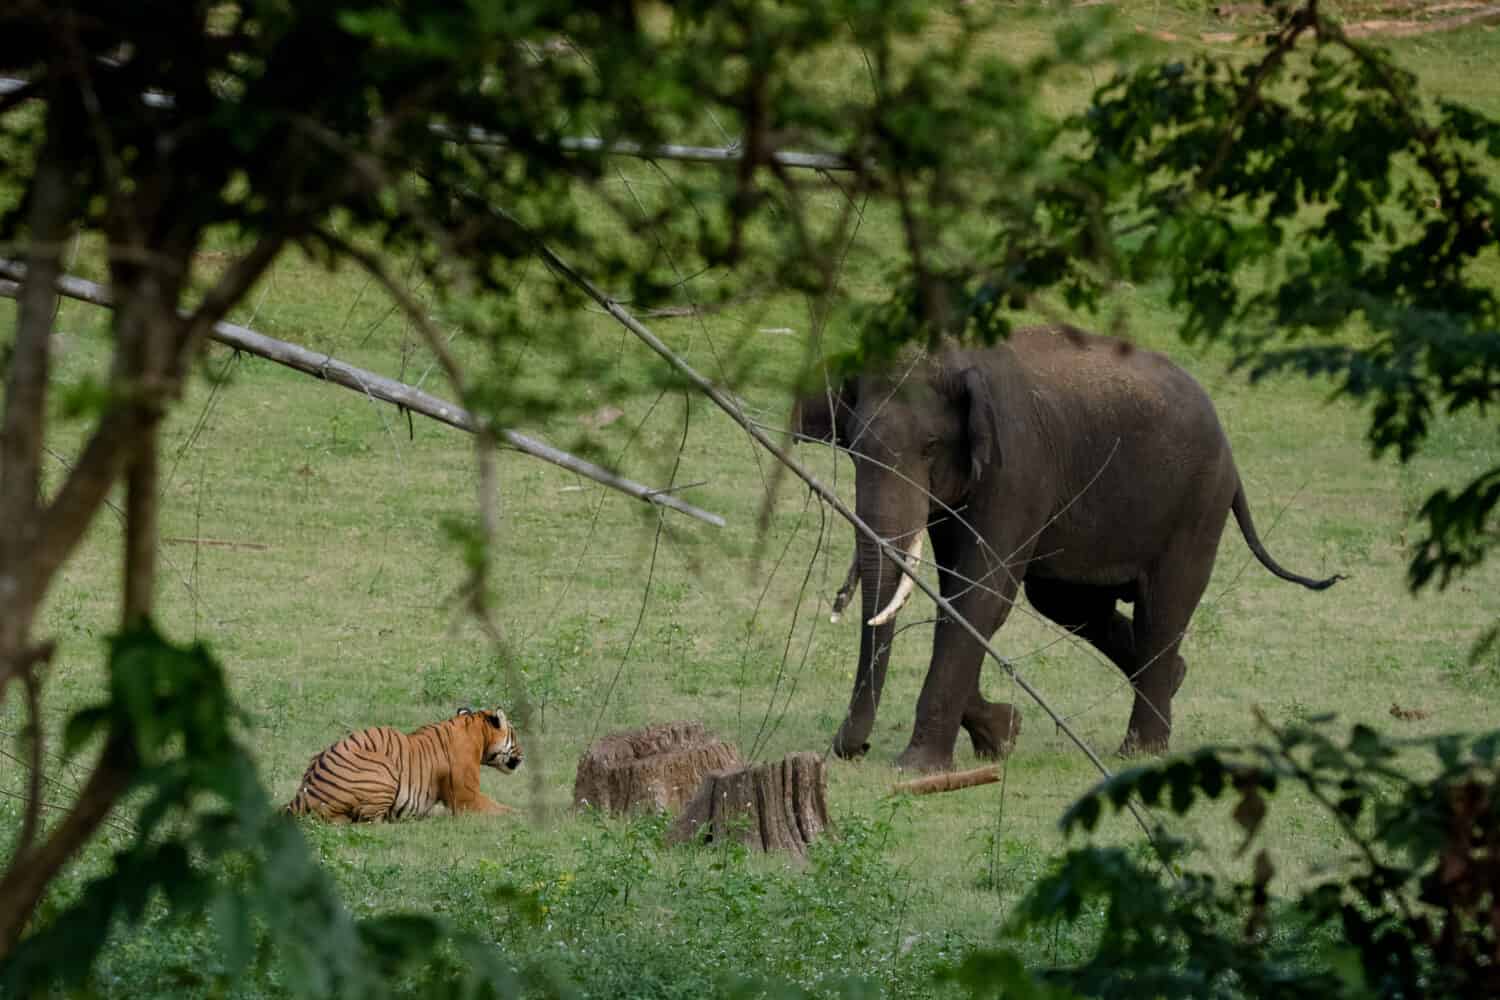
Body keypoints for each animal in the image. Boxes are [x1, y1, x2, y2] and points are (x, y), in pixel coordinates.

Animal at [283, 704, 525, 821]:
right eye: (515, 734)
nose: (523, 755)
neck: (478, 733)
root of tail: (301, 796)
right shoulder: (468, 798)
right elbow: (504, 809)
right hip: (384, 769)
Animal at [792, 325, 1344, 773]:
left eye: (930, 447)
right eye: (852, 447)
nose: (849, 749)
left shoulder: (1017, 466)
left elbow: (982, 594)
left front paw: (918, 767)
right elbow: (961, 596)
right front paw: (1002, 735)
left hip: (1197, 503)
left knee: (1163, 608)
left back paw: (1140, 750)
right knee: (1069, 603)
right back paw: (1175, 680)